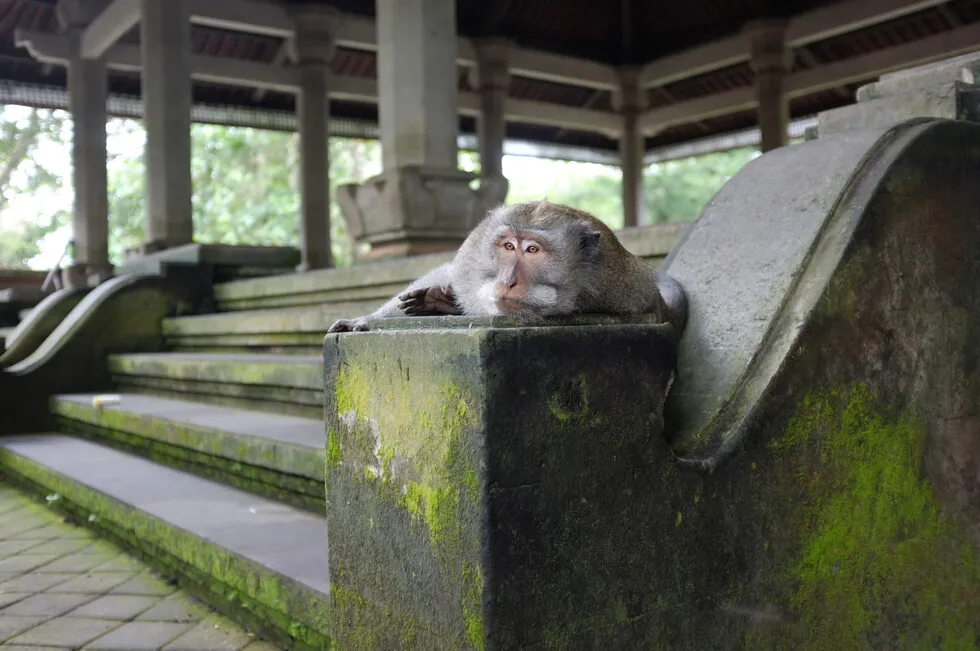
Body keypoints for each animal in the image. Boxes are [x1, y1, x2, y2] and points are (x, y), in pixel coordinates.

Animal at [327, 200, 687, 335]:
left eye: (532, 250)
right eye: (509, 247)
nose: (507, 281)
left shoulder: (626, 291)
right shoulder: (471, 260)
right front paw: (366, 319)